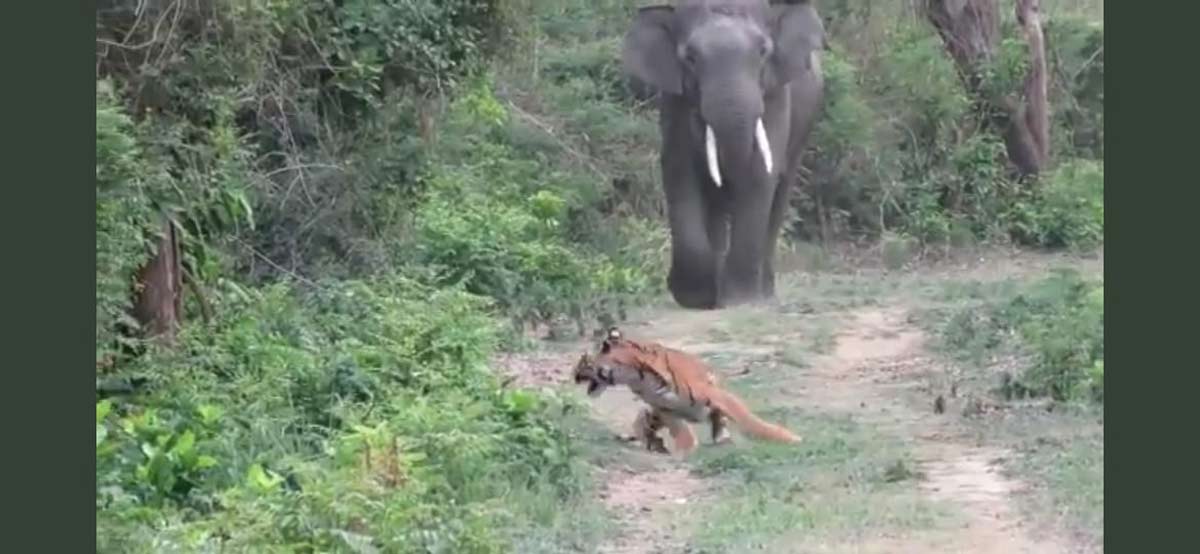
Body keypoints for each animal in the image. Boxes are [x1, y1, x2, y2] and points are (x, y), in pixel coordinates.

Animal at [572, 327, 801, 454]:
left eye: (584, 361)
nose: (573, 375)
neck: (637, 378)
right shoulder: (662, 406)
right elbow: (679, 430)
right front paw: (685, 450)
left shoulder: (715, 394)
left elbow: (751, 420)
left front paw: (790, 438)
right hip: (653, 414)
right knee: (642, 422)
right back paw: (654, 443)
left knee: (720, 423)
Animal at [621, 0, 825, 309]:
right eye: (690, 57)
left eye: (763, 51)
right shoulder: (675, 103)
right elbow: (679, 172)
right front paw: (695, 298)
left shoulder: (776, 97)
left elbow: (759, 176)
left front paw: (740, 301)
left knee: (780, 194)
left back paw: (764, 293)